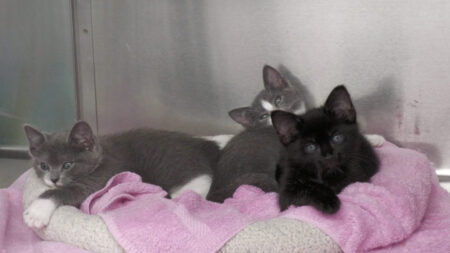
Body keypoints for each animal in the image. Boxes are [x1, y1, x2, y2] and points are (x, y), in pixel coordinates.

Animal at [23, 121, 220, 228]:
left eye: (67, 165)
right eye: (44, 166)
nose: (53, 179)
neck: (100, 155)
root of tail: (202, 144)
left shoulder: (104, 175)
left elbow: (71, 190)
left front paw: (37, 211)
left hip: (175, 164)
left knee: (199, 183)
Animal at [270, 85, 380, 213]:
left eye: (337, 138)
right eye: (311, 147)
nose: (328, 154)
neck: (329, 174)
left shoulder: (358, 175)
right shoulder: (287, 190)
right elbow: (304, 190)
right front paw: (328, 200)